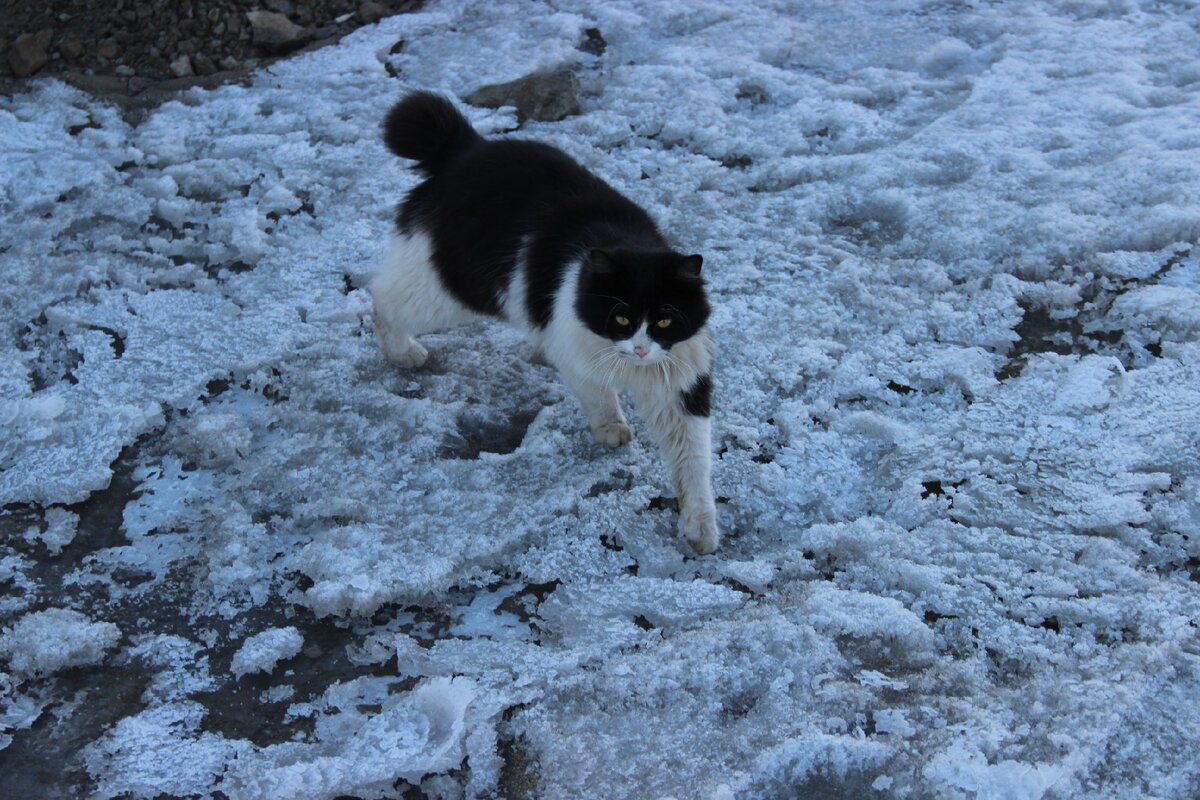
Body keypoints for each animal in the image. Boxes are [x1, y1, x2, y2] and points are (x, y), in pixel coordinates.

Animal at [369, 90, 715, 554]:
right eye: (622, 317)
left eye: (663, 322)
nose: (642, 349)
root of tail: (466, 148)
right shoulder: (575, 350)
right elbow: (598, 395)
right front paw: (612, 428)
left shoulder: (681, 387)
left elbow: (692, 463)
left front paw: (701, 529)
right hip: (450, 293)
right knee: (382, 296)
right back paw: (402, 352)